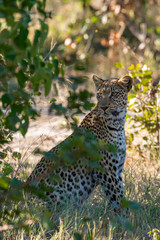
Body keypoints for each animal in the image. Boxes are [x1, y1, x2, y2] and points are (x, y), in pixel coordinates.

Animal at [26, 74, 132, 212]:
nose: (103, 107)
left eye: (113, 93)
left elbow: (121, 197)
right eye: (99, 95)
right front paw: (126, 216)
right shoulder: (107, 172)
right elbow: (118, 199)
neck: (117, 124)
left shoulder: (117, 171)